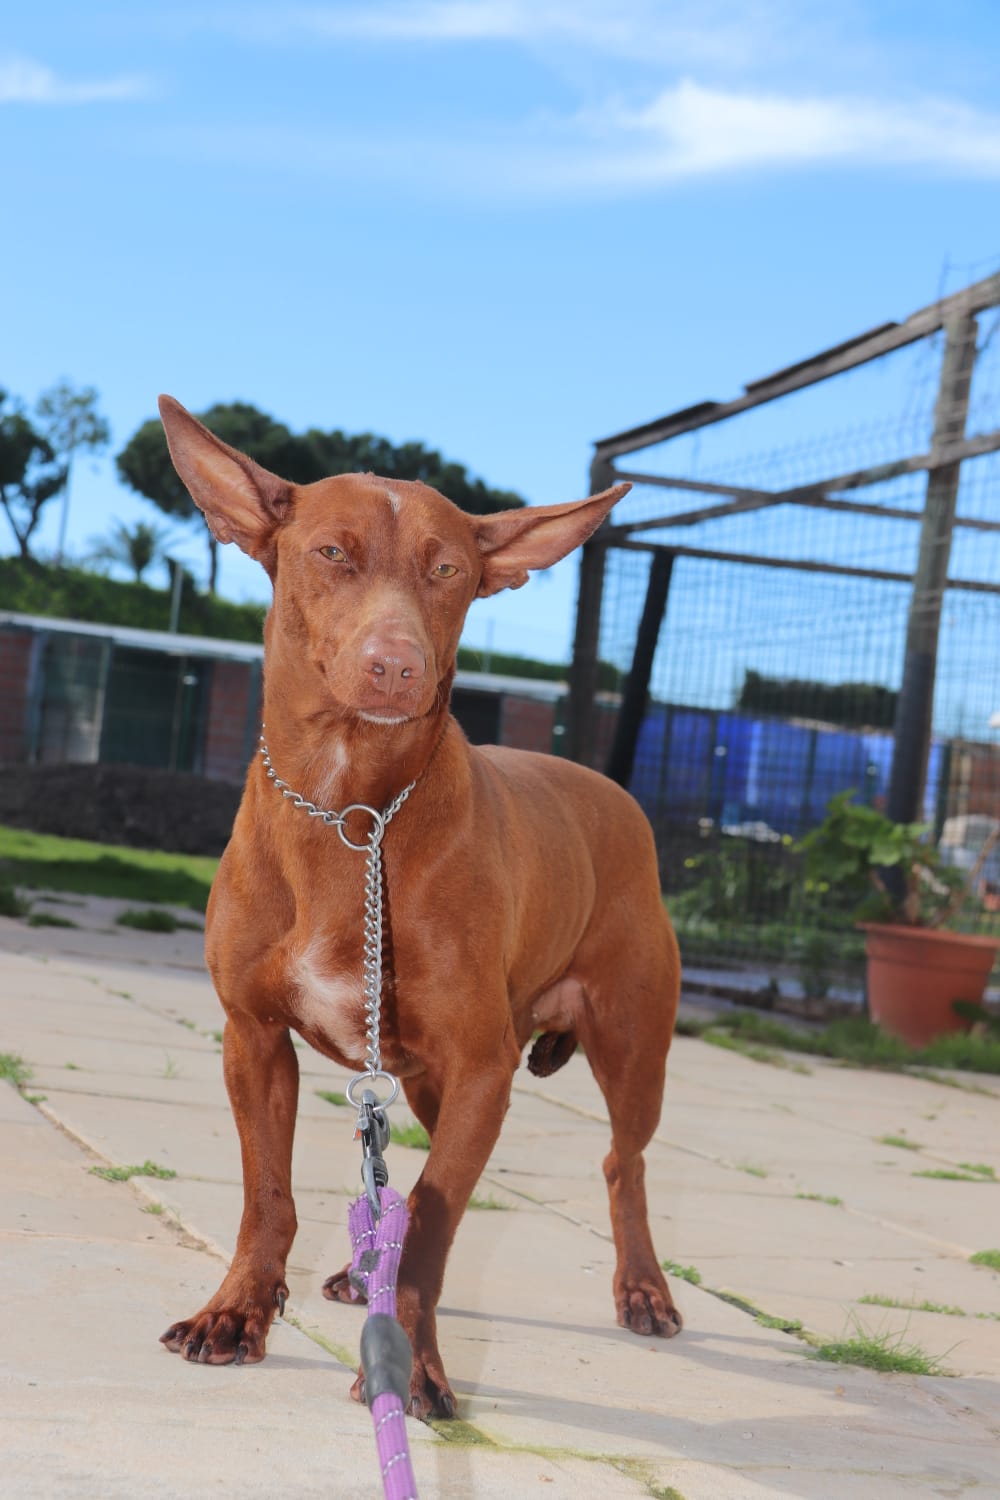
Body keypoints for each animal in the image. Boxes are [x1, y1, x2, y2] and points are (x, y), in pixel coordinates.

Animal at [157, 396, 682, 1418]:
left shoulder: (480, 1068)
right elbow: (268, 1196)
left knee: (625, 1162)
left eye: (447, 571)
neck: (354, 811)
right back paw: (360, 1270)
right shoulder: (253, 1038)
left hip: (628, 1045)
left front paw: (416, 1365)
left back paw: (642, 1287)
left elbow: (436, 1221)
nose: (395, 666)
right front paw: (238, 1312)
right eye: (332, 553)